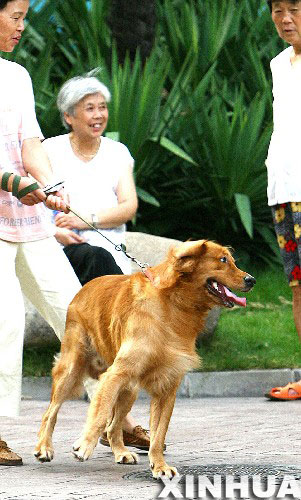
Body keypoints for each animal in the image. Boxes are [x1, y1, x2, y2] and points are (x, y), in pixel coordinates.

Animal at [34, 240, 254, 478]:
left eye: (231, 260)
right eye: (223, 260)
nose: (251, 280)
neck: (174, 305)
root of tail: (84, 289)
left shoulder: (167, 386)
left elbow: (158, 433)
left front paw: (159, 465)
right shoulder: (114, 375)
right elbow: (100, 414)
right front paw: (84, 445)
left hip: (129, 389)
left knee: (114, 426)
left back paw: (121, 452)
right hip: (72, 370)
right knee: (51, 412)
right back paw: (44, 448)